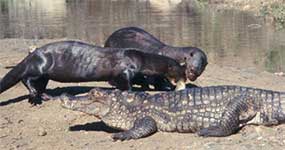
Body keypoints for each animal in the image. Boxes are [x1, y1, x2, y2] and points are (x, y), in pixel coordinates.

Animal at [0, 40, 186, 104]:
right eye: (180, 73)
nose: (185, 80)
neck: (140, 59)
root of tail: (32, 54)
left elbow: (141, 80)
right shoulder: (125, 70)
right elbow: (125, 83)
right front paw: (132, 91)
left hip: (44, 74)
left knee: (41, 85)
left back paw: (46, 96)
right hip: (40, 66)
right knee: (26, 78)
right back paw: (34, 96)